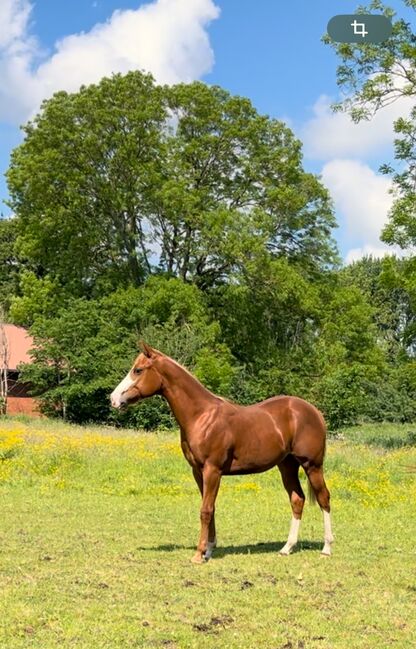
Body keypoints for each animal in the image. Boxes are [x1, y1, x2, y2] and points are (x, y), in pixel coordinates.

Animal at [109, 344, 334, 560]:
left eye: (138, 370)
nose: (113, 399)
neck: (202, 416)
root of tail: (314, 412)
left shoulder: (212, 470)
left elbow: (205, 510)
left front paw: (198, 554)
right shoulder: (198, 472)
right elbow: (211, 508)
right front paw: (209, 550)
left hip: (312, 465)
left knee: (323, 498)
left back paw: (326, 548)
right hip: (287, 465)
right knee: (297, 499)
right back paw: (287, 548)